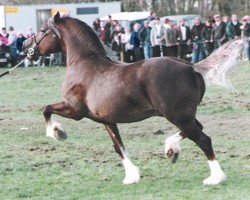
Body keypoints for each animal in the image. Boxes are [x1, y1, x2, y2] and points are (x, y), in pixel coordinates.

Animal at [22, 12, 245, 184]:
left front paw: (57, 132)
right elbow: (118, 147)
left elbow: (46, 109)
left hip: (178, 116)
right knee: (196, 130)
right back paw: (171, 149)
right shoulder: (107, 120)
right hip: (183, 116)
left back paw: (215, 178)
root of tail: (191, 67)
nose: (26, 46)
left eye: (43, 30)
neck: (85, 65)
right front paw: (131, 176)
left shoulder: (74, 110)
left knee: (203, 139)